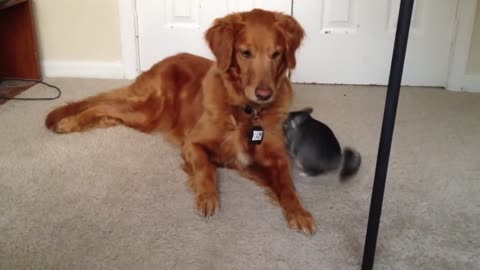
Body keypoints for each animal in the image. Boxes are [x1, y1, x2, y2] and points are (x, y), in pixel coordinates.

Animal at [45, 8, 316, 234]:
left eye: (276, 54)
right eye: (245, 53)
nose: (264, 94)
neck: (247, 110)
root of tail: (159, 63)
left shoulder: (277, 158)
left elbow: (288, 186)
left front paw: (299, 212)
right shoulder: (192, 143)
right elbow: (206, 169)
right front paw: (207, 197)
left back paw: (102, 120)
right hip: (149, 110)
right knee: (101, 104)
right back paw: (70, 122)